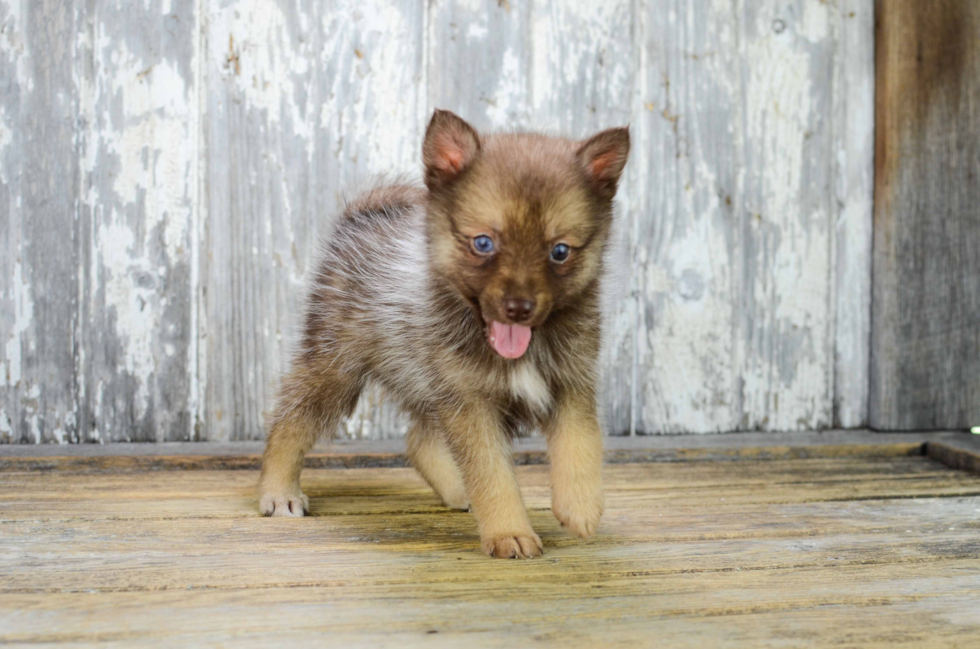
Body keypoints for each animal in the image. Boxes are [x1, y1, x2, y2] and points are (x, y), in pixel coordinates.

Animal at [256, 110, 632, 556]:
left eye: (560, 251)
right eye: (483, 243)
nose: (518, 309)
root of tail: (363, 214)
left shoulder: (570, 382)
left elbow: (582, 443)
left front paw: (580, 505)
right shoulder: (471, 400)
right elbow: (492, 473)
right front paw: (508, 531)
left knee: (420, 439)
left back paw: (458, 490)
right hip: (335, 364)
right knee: (292, 418)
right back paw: (279, 490)